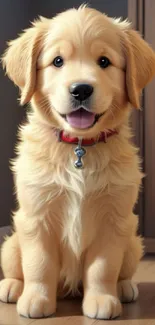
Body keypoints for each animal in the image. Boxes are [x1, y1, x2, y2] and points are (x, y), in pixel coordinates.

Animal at [0, 5, 155, 318]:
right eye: (57, 61)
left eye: (104, 61)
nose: (81, 89)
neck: (79, 148)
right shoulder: (37, 215)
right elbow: (38, 263)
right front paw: (35, 298)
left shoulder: (114, 219)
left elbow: (103, 268)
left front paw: (102, 299)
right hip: (11, 243)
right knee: (15, 267)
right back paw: (12, 287)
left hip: (133, 242)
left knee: (123, 270)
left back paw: (124, 288)